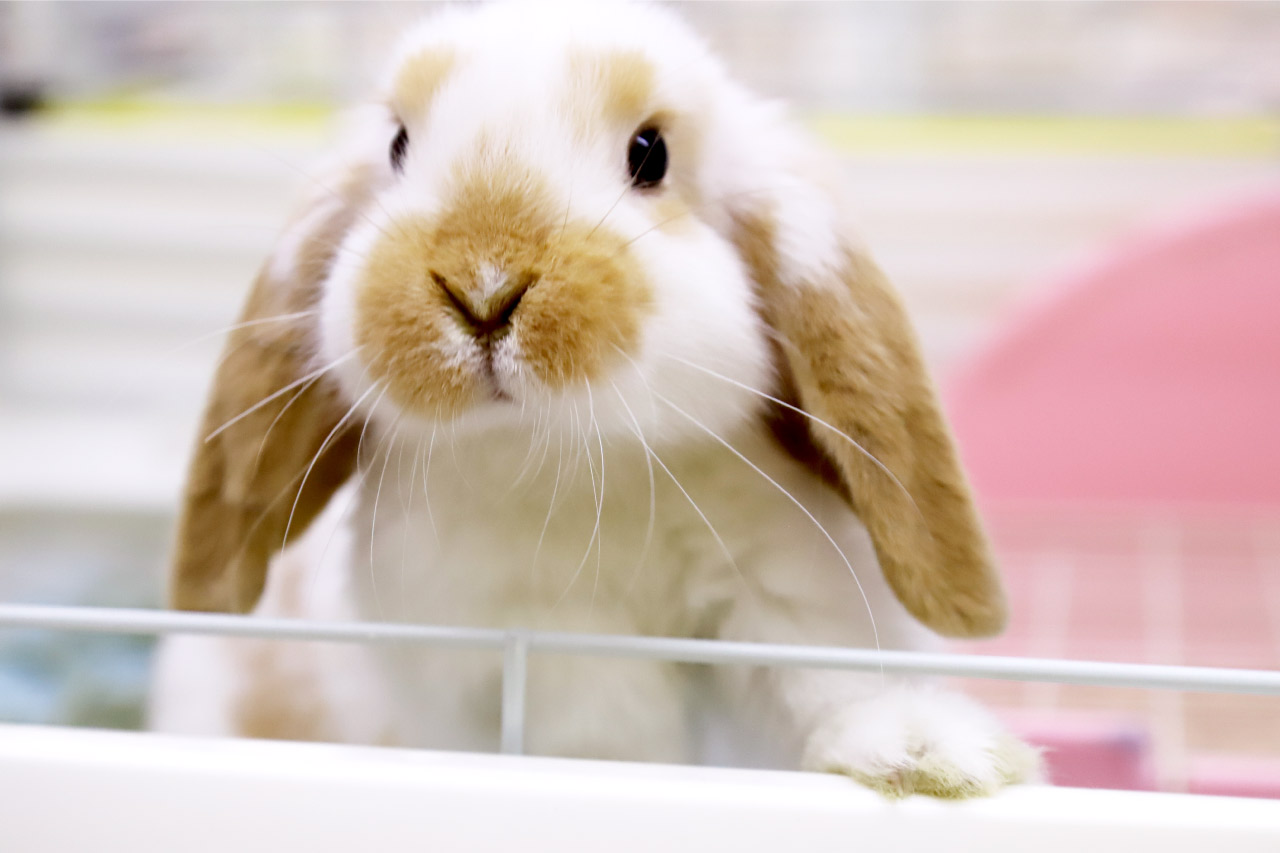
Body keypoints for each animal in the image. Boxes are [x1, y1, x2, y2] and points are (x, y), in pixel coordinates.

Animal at [149, 1, 1040, 798]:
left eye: (651, 153)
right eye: (398, 146)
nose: (483, 286)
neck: (586, 471)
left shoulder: (789, 587)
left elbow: (821, 677)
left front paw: (932, 755)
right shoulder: (554, 639)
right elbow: (608, 734)